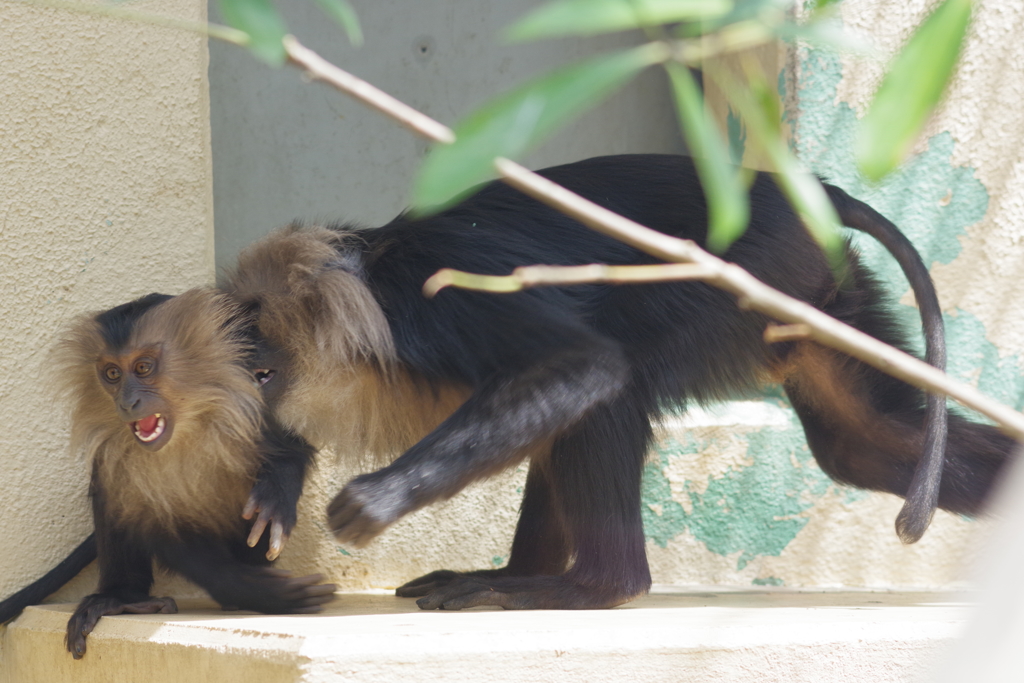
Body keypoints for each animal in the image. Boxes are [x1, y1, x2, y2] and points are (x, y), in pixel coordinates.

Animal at [0, 153, 1011, 647]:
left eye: (257, 343)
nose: (249, 373)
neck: (375, 281)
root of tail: (813, 195)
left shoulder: (440, 303)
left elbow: (587, 368)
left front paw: (370, 503)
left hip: (751, 274)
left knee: (614, 382)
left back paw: (590, 586)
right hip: (811, 293)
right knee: (863, 440)